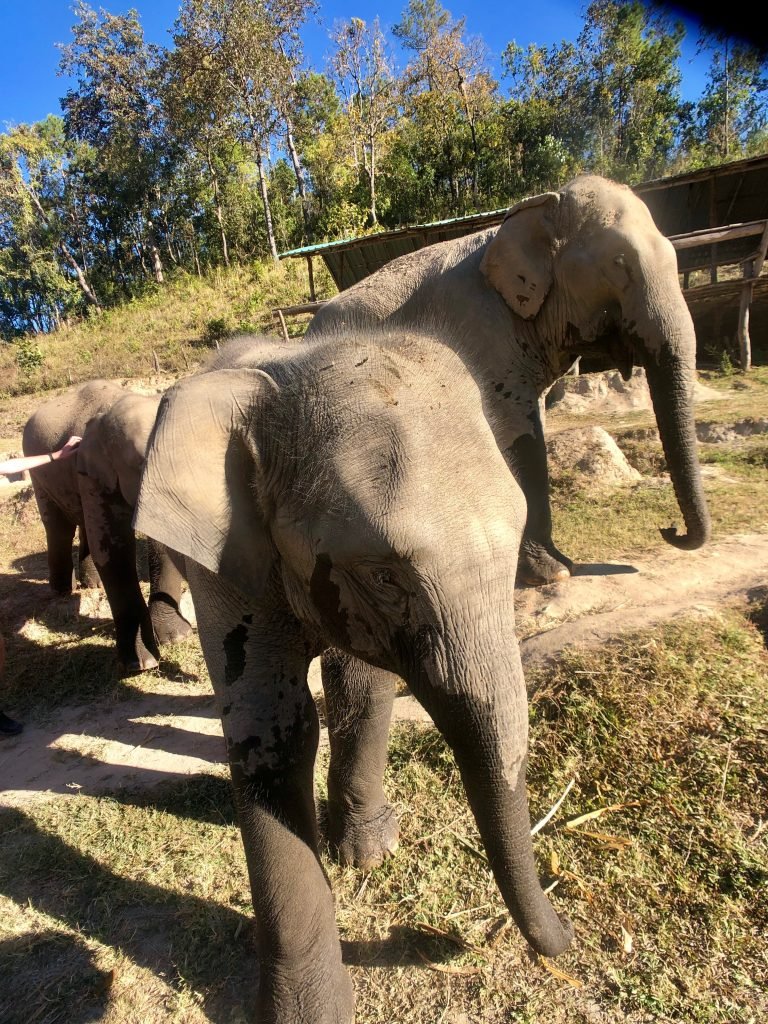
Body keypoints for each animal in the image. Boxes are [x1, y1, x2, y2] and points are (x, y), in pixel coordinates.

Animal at [22, 382, 192, 671]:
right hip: (38, 474)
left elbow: (162, 542)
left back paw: (93, 585)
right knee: (59, 528)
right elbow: (113, 551)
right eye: (142, 465)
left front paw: (177, 638)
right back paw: (62, 590)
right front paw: (141, 663)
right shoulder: (95, 472)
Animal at [134, 329, 577, 1024]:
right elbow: (272, 730)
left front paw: (369, 856)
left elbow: (363, 686)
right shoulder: (228, 561)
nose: (574, 934)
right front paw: (310, 1012)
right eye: (385, 577)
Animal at [309, 174, 716, 585]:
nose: (669, 529)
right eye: (620, 263)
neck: (533, 211)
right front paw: (554, 574)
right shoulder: (482, 334)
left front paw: (559, 565)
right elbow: (519, 435)